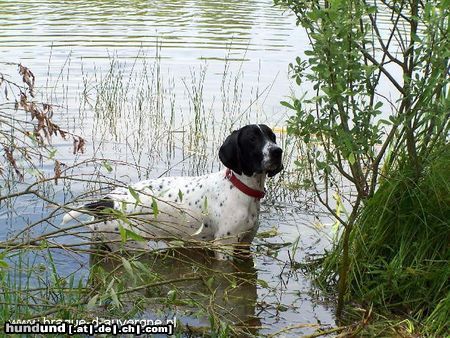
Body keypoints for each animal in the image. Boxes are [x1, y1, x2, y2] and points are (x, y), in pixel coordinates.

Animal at [62, 124, 284, 258]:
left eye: (272, 136)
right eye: (252, 139)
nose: (277, 151)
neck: (241, 188)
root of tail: (106, 201)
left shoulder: (244, 245)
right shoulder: (224, 247)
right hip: (133, 246)